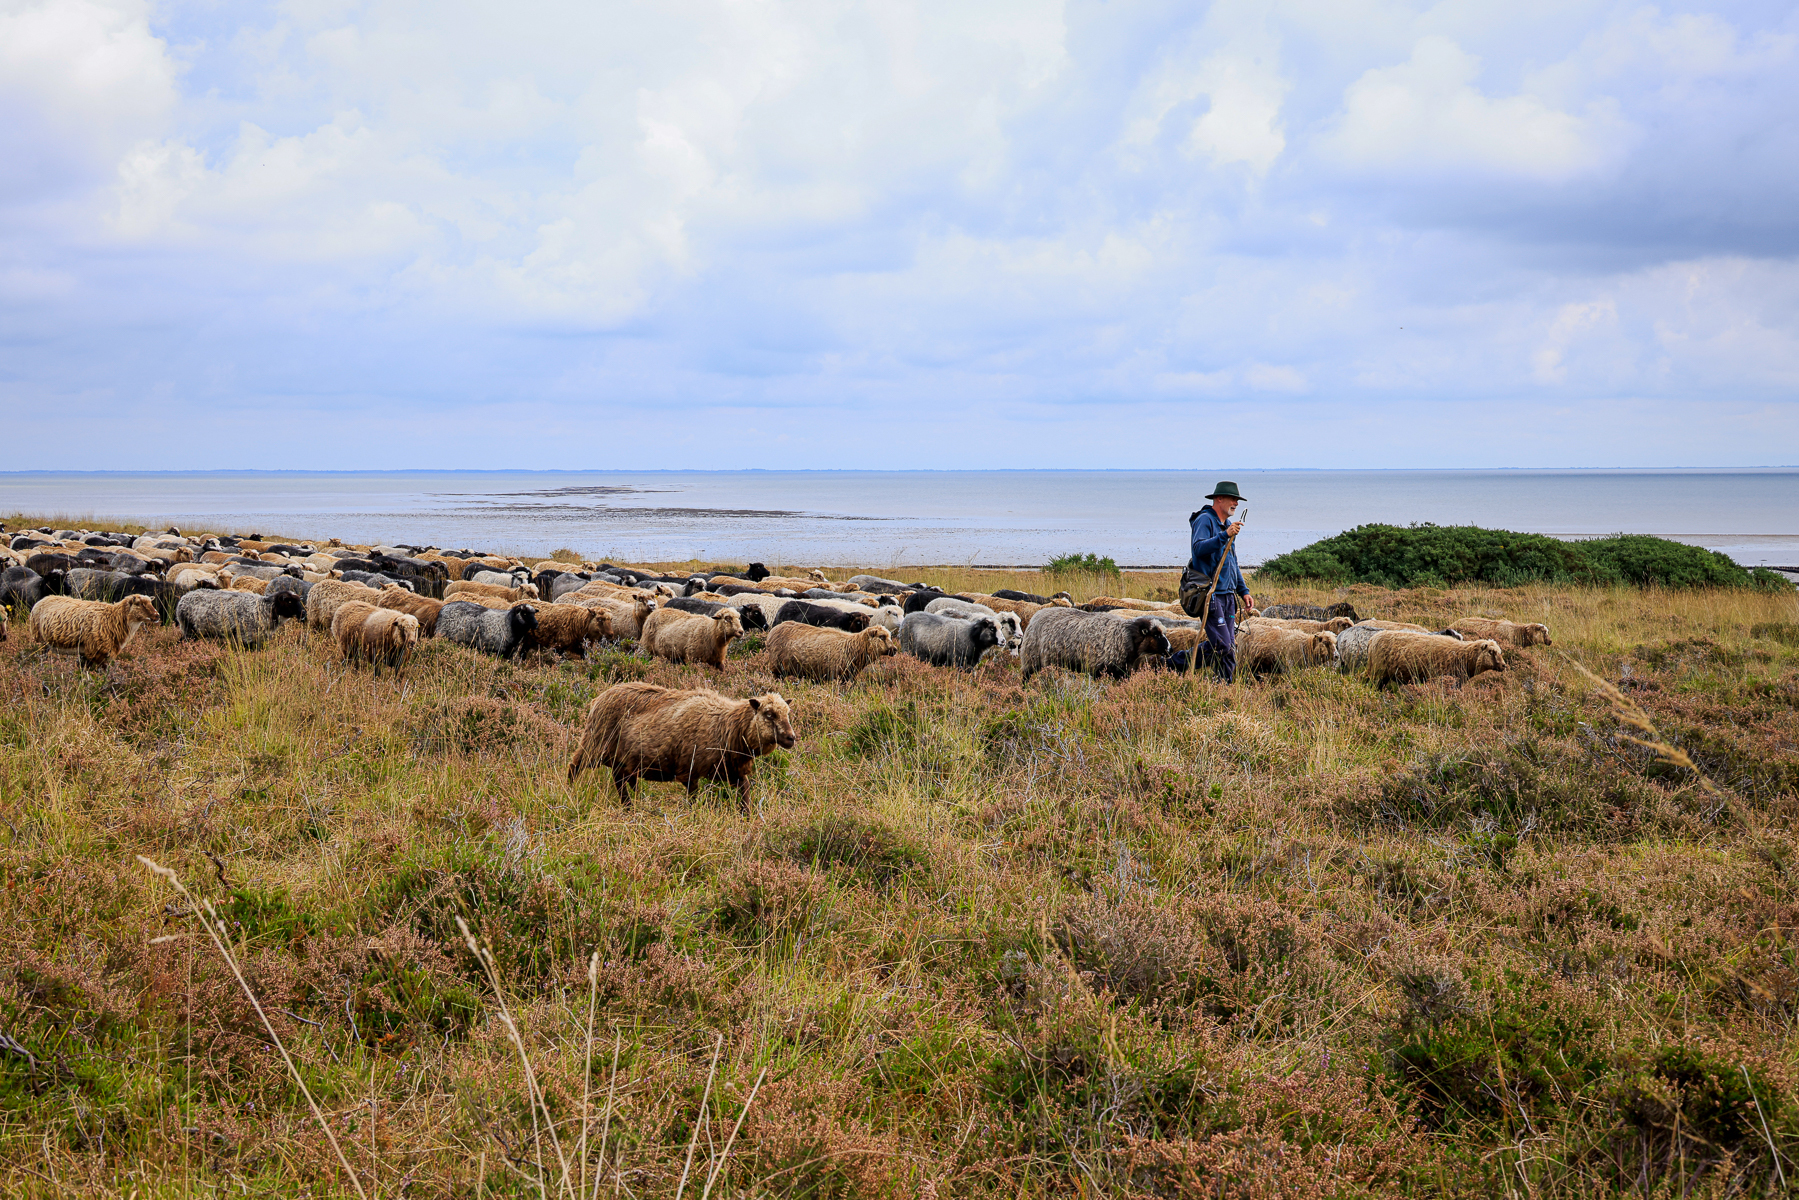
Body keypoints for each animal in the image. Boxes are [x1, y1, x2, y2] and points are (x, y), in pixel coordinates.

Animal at [28, 597, 158, 672]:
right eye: (139, 604)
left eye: (151, 602)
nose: (157, 616)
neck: (113, 617)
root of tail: (42, 599)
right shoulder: (95, 652)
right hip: (40, 641)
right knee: (41, 657)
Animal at [175, 590, 305, 647]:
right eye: (289, 601)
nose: (303, 614)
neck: (264, 609)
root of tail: (183, 598)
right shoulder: (246, 636)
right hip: (189, 629)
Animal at [564, 680, 798, 813]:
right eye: (769, 714)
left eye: (787, 713)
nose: (791, 738)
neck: (725, 725)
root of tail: (599, 698)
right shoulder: (689, 771)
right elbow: (693, 800)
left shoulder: (735, 771)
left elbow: (745, 796)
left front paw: (746, 818)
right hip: (594, 744)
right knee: (574, 767)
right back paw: (570, 793)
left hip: (622, 760)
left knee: (620, 781)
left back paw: (629, 807)